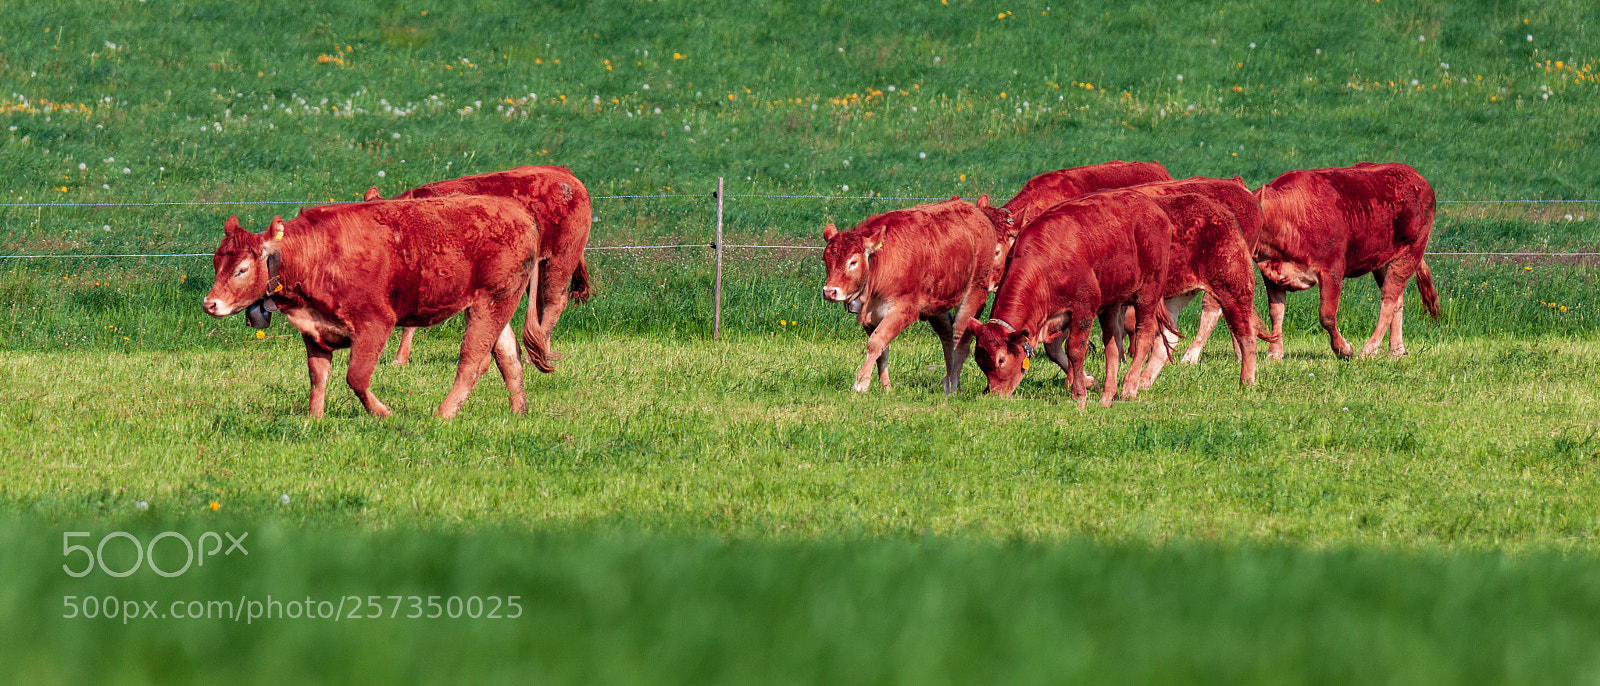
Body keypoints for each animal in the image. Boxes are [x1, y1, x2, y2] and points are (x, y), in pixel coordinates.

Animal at [202, 196, 541, 419]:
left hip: (492, 300)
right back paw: (518, 411)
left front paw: (383, 412)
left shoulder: (375, 323)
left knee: (471, 360)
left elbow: (357, 376)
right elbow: (318, 376)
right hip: (493, 303)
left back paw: (442, 414)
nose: (210, 304)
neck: (318, 256)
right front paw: (314, 418)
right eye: (217, 262)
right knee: (507, 355)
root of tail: (519, 212)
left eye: (242, 269)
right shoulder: (314, 330)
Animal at [366, 165, 592, 371]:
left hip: (562, 256)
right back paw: (542, 350)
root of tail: (564, 173)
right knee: (540, 304)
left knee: (555, 302)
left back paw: (530, 357)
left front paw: (399, 359)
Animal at [821, 198, 1000, 394]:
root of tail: (976, 212)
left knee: (960, 338)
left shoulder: (903, 310)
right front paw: (886, 387)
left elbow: (875, 342)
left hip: (975, 292)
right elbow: (881, 350)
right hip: (937, 304)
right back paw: (949, 382)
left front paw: (861, 382)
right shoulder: (871, 316)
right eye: (826, 260)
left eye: (853, 262)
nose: (829, 291)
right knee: (947, 335)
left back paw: (953, 384)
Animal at [968, 190, 1174, 408]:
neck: (1045, 262)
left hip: (1149, 290)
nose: (993, 395)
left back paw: (1129, 386)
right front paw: (1088, 381)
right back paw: (1108, 395)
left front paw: (1079, 394)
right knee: (1113, 345)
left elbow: (1074, 349)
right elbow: (1053, 349)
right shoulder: (1055, 315)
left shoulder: (1084, 308)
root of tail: (1150, 205)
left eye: (1001, 360)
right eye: (979, 361)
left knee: (1145, 333)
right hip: (1112, 299)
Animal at [1251, 162, 1440, 359]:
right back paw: (1396, 350)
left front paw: (1343, 349)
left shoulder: (1332, 270)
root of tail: (1415, 175)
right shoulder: (1272, 273)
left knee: (1388, 300)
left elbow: (1326, 316)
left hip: (1409, 253)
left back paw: (1369, 349)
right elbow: (1276, 312)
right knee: (1397, 300)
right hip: (1384, 261)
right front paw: (1274, 353)